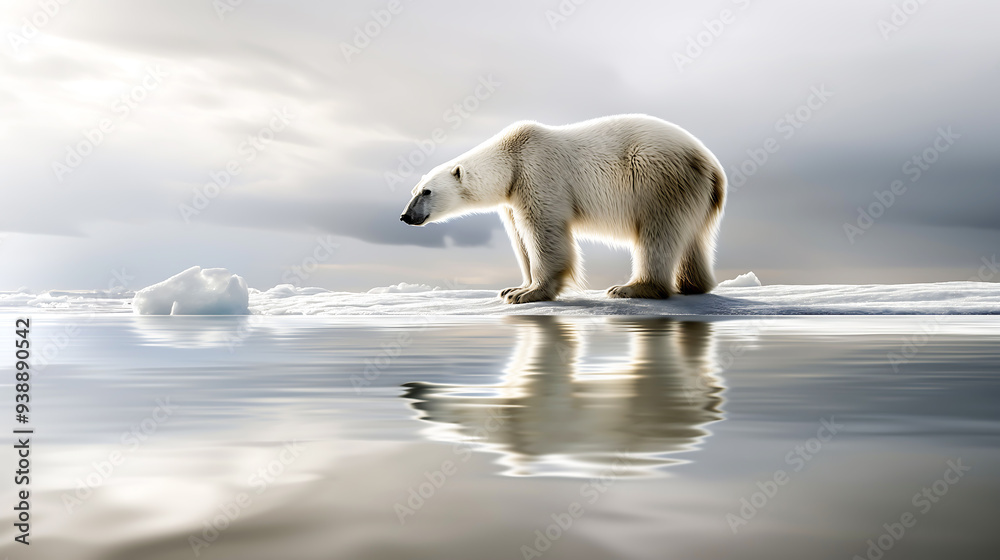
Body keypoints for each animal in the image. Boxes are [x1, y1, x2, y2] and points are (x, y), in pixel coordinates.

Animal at [399, 114, 726, 304]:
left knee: (658, 233)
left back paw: (631, 288)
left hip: (658, 180)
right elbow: (520, 238)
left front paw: (529, 293)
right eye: (414, 191)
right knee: (692, 238)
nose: (405, 216)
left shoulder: (537, 172)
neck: (510, 158)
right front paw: (513, 287)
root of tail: (713, 167)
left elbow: (543, 231)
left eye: (427, 191)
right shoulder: (512, 197)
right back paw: (693, 284)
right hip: (689, 193)